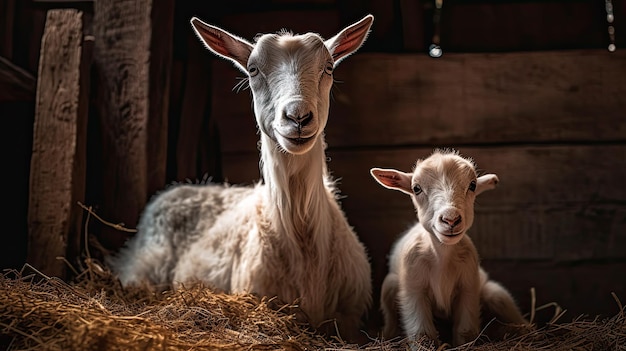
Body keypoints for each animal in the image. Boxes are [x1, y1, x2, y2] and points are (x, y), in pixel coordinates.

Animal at [370, 148, 528, 346]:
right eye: (416, 188)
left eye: (473, 185)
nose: (451, 219)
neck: (442, 256)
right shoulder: (413, 289)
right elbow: (422, 335)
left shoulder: (468, 287)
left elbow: (465, 332)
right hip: (390, 286)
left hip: (495, 294)